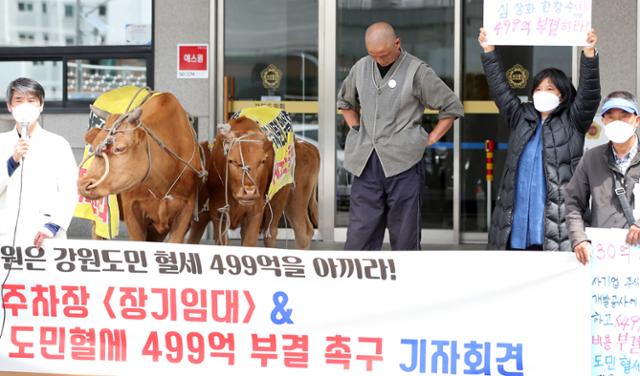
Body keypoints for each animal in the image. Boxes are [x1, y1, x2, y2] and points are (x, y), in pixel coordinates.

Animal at [189, 116, 320, 248]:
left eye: (262, 161)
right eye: (232, 161)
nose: (249, 192)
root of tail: (305, 145)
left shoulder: (255, 213)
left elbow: (249, 243)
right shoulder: (217, 215)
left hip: (288, 199)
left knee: (289, 232)